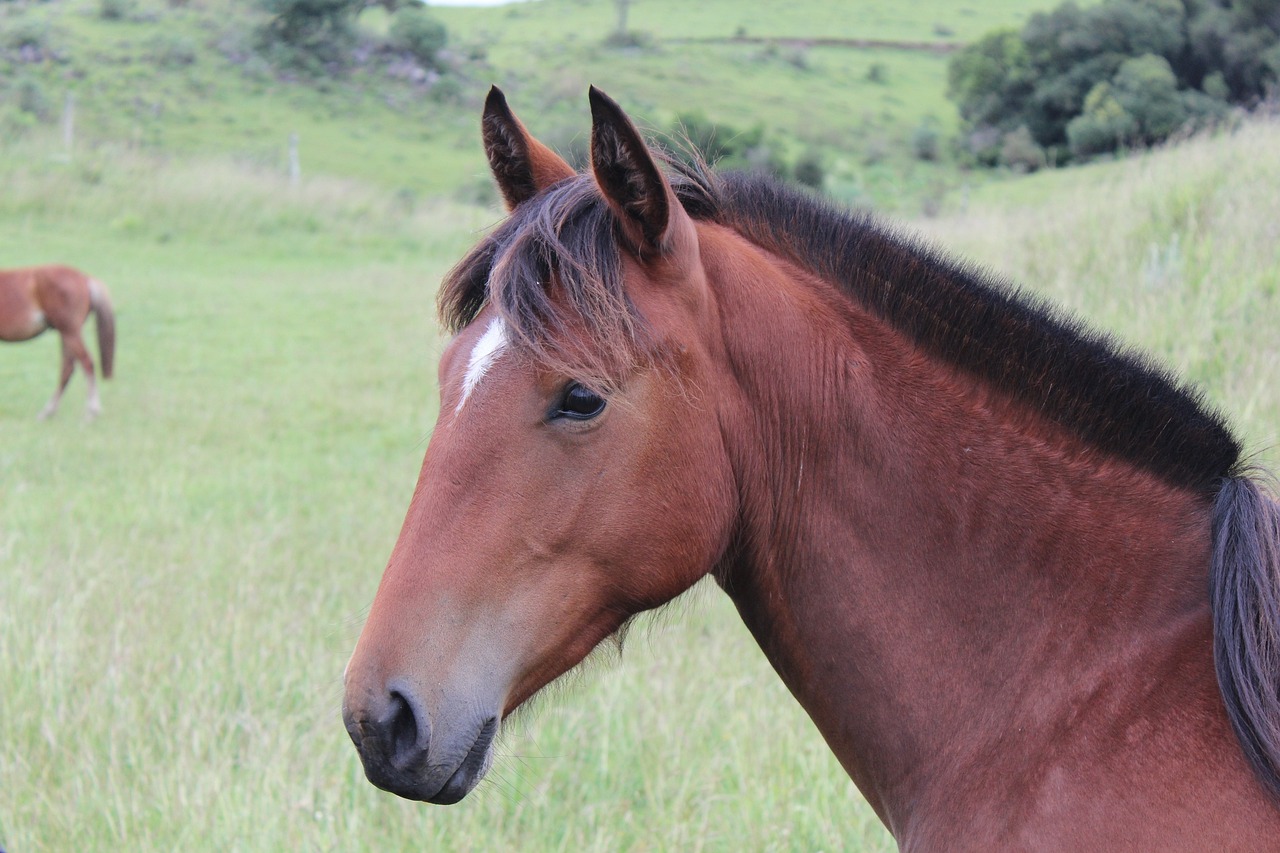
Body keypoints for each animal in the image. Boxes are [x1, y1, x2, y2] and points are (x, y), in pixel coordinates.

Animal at [0, 262, 116, 414]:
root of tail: (84, 278)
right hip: (66, 334)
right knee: (68, 368)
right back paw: (48, 412)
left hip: (70, 332)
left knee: (86, 363)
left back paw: (91, 411)